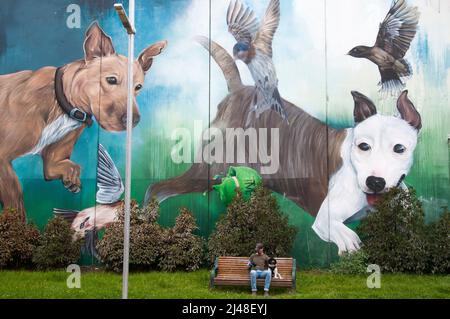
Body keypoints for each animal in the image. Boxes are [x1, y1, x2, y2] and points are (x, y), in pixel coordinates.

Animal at [0, 22, 167, 221]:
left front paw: (71, 179)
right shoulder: (2, 159)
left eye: (138, 87)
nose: (133, 120)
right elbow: (16, 201)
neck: (61, 103)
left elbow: (67, 167)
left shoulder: (53, 160)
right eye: (111, 79)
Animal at [312, 90, 422, 255]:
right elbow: (345, 233)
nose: (375, 182)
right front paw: (352, 246)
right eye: (363, 146)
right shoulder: (324, 218)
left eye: (399, 148)